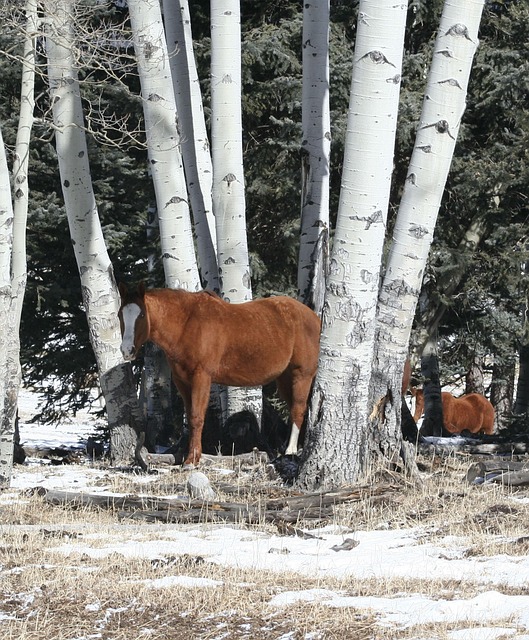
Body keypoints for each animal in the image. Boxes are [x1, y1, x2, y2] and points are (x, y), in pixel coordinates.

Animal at [118, 283, 321, 466]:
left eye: (141, 315)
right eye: (120, 314)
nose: (127, 350)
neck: (187, 324)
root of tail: (315, 318)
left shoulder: (201, 377)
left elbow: (196, 417)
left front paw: (192, 460)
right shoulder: (182, 381)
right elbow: (190, 418)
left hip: (302, 375)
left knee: (298, 409)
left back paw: (290, 451)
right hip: (284, 378)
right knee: (293, 408)